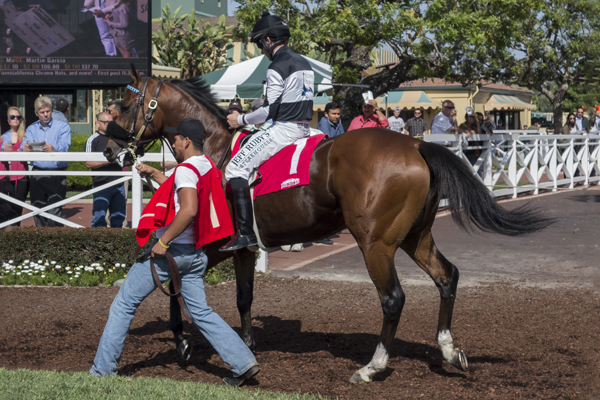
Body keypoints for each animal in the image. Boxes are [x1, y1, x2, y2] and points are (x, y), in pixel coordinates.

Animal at [104, 66, 552, 384]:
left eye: (121, 106)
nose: (109, 150)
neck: (212, 150)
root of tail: (415, 144)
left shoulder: (210, 246)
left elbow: (173, 288)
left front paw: (182, 342)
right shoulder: (244, 249)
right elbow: (244, 299)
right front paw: (245, 347)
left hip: (376, 243)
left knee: (393, 298)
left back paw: (372, 367)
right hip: (414, 236)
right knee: (447, 277)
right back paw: (447, 350)